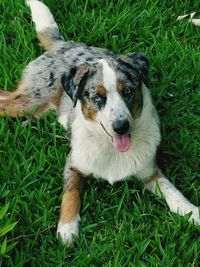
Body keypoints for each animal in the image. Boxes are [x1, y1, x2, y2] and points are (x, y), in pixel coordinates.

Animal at [0, 0, 199, 247]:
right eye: (98, 97)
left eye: (128, 91)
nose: (121, 127)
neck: (109, 146)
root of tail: (65, 45)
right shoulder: (73, 164)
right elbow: (70, 194)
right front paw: (67, 229)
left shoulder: (150, 171)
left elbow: (173, 192)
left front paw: (193, 212)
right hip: (31, 99)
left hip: (42, 107)